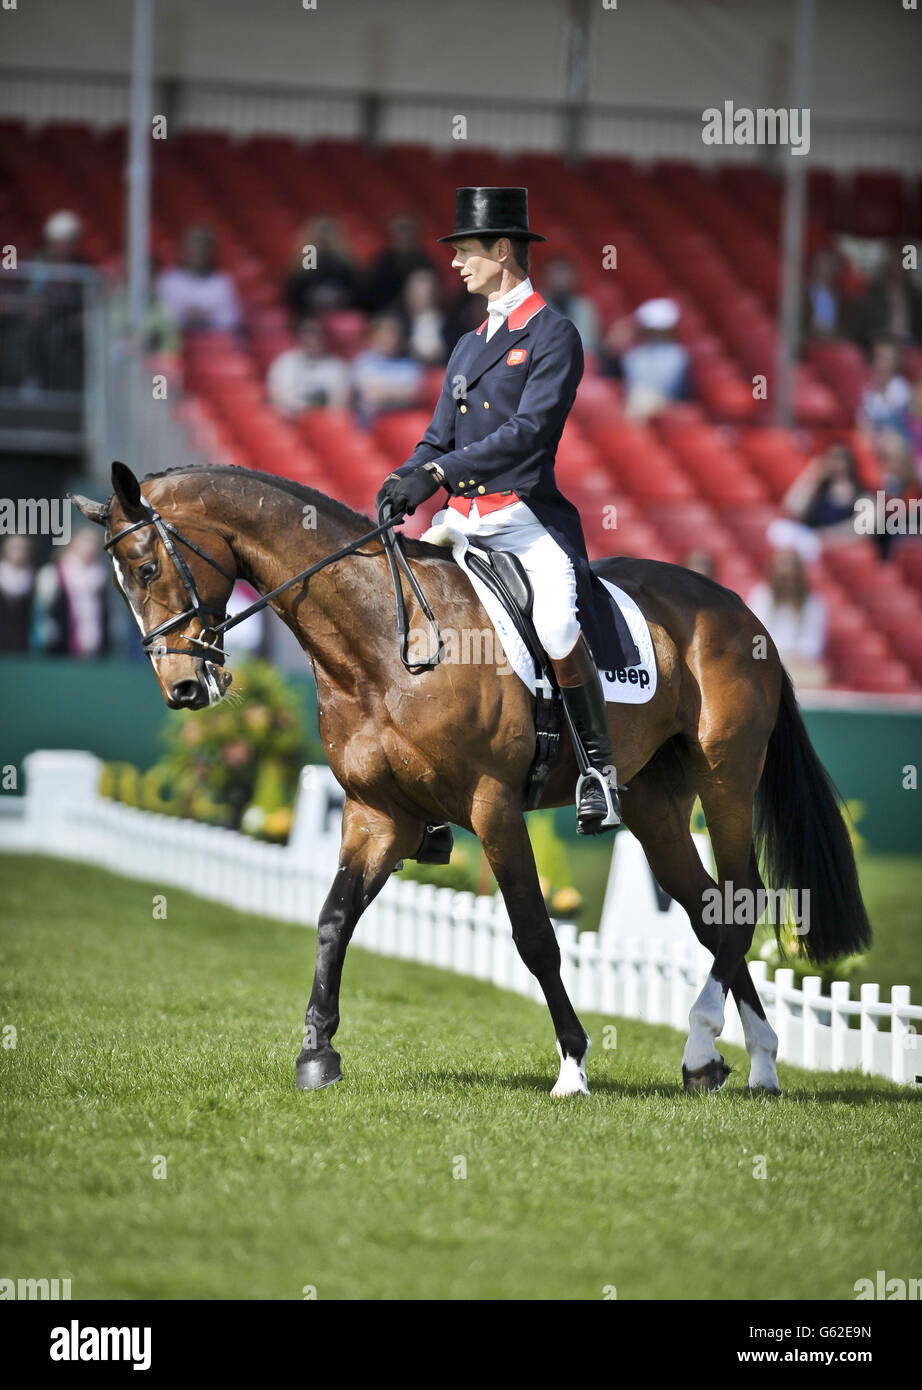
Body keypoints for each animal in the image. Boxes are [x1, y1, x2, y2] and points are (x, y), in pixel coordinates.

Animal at [74, 464, 873, 1095]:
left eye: (147, 569)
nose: (183, 689)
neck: (380, 643)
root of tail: (737, 610)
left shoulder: (493, 807)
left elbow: (534, 935)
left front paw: (573, 1066)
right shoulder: (377, 814)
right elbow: (334, 919)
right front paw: (317, 1053)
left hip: (725, 779)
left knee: (739, 903)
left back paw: (722, 1047)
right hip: (654, 804)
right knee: (710, 910)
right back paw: (735, 1060)